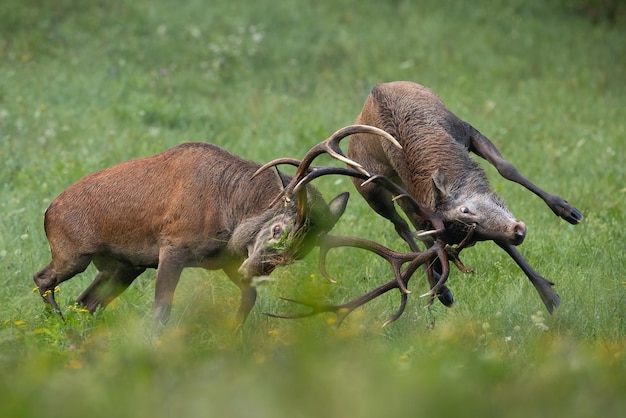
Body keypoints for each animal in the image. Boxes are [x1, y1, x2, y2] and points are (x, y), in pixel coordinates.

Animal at [33, 122, 400, 324]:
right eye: (277, 229)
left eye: (301, 253)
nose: (257, 270)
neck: (231, 213)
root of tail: (48, 213)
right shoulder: (173, 247)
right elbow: (161, 312)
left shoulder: (226, 260)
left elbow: (248, 299)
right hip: (74, 254)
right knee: (43, 279)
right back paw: (57, 324)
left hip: (123, 266)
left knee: (85, 303)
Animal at [346, 81, 580, 314]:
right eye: (469, 235)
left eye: (466, 210)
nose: (518, 232)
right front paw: (549, 295)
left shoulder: (465, 129)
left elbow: (506, 168)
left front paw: (567, 210)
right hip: (370, 190)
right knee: (402, 227)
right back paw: (440, 286)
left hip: (401, 193)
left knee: (414, 228)